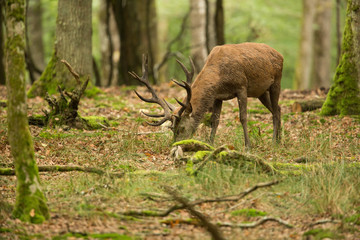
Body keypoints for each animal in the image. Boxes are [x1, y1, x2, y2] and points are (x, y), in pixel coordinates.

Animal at [130, 42, 284, 148]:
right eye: (172, 129)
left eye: (182, 128)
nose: (175, 145)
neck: (219, 77)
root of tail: (280, 55)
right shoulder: (218, 96)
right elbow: (214, 121)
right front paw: (210, 144)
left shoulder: (242, 87)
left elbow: (243, 117)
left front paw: (247, 146)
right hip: (261, 92)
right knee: (278, 109)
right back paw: (279, 139)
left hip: (276, 81)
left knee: (276, 111)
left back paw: (273, 142)